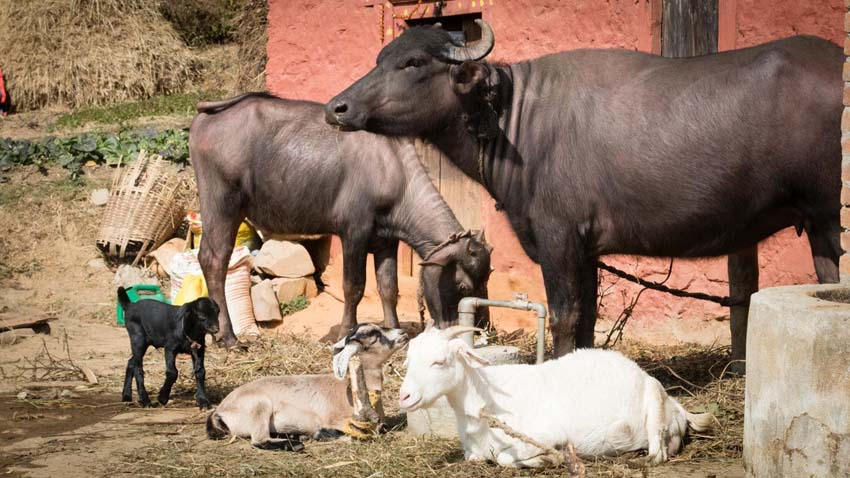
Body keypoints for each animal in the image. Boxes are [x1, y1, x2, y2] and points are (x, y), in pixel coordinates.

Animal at [186, 94, 490, 348]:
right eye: (463, 286)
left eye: (486, 280)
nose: (482, 328)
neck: (394, 173)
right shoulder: (354, 232)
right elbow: (354, 286)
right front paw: (346, 331)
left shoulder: (386, 240)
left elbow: (388, 287)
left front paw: (395, 332)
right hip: (222, 205)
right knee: (215, 260)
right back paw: (228, 337)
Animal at [204, 324, 406, 450]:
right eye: (373, 334)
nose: (403, 333)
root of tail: (220, 410)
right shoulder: (337, 421)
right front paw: (322, 434)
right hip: (259, 406)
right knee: (258, 441)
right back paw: (295, 444)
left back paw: (295, 437)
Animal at [326, 22, 840, 358]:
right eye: (379, 59)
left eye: (413, 63)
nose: (337, 107)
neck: (514, 120)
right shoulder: (587, 247)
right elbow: (590, 317)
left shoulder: (558, 235)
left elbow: (565, 314)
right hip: (820, 222)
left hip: (831, 211)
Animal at [398, 324, 708, 466]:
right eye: (409, 360)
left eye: (439, 362)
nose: (405, 397)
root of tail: (680, 410)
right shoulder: (472, 453)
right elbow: (476, 457)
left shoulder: (547, 434)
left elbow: (506, 458)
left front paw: (550, 459)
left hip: (654, 402)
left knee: (659, 453)